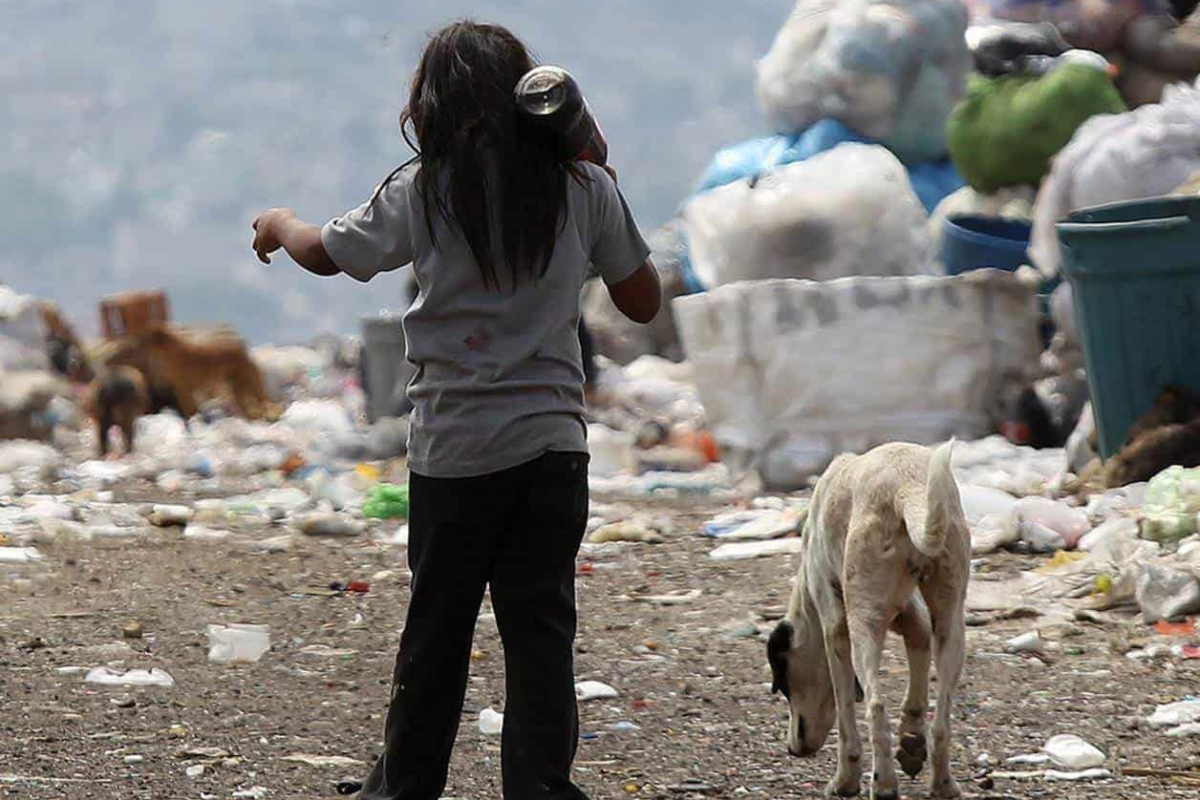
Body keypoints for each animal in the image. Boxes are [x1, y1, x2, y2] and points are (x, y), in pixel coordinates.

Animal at [768, 441, 974, 796]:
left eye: (783, 684)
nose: (792, 748)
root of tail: (906, 487)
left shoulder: (835, 629)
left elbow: (845, 715)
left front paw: (845, 780)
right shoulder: (912, 616)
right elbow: (918, 649)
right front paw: (911, 740)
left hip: (863, 623)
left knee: (876, 706)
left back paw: (883, 784)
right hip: (950, 622)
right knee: (941, 720)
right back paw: (942, 783)